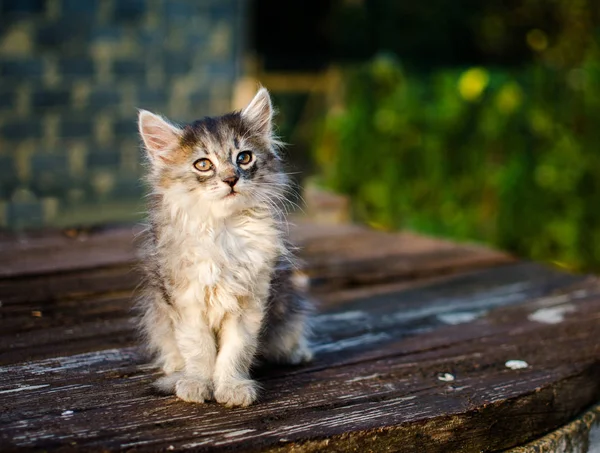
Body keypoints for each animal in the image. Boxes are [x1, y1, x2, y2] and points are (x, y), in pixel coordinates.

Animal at [137, 88, 314, 406]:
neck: (224, 231)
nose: (231, 179)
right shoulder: (186, 299)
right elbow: (199, 348)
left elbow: (236, 349)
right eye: (203, 164)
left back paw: (298, 352)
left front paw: (231, 386)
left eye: (244, 158)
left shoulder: (250, 301)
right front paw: (196, 383)